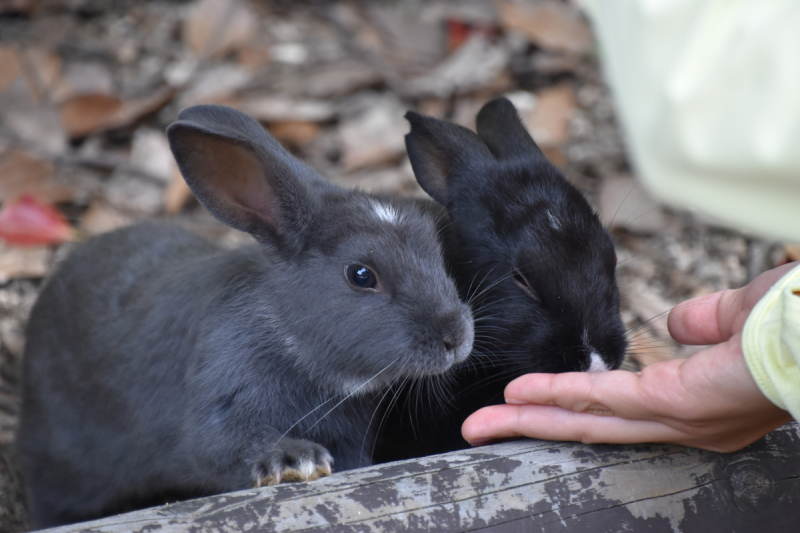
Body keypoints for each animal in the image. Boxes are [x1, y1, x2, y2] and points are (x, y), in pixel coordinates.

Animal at [17, 104, 474, 529]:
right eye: (361, 275)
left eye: (434, 248)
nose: (455, 337)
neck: (288, 337)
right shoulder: (221, 401)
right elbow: (220, 446)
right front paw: (294, 460)